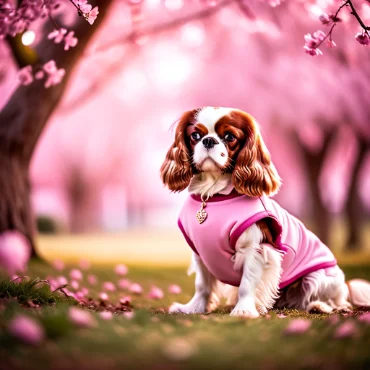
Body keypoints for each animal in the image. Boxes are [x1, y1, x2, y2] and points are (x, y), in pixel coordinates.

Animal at [160, 107, 370, 318]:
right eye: (195, 135)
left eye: (229, 137)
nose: (208, 140)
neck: (211, 196)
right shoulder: (201, 253)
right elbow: (202, 285)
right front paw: (193, 308)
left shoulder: (256, 249)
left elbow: (247, 284)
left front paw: (244, 310)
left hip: (317, 277)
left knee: (333, 301)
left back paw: (320, 306)